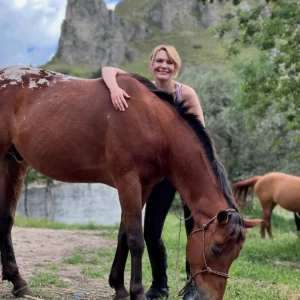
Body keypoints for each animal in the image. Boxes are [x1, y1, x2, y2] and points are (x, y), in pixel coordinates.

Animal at [0, 66, 260, 300]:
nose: (208, 297)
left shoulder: (143, 187)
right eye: (215, 249)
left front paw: (119, 288)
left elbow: (123, 235)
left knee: (6, 219)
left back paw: (18, 283)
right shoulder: (128, 183)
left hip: (14, 163)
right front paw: (136, 292)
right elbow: (136, 239)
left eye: (236, 255)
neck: (153, 123)